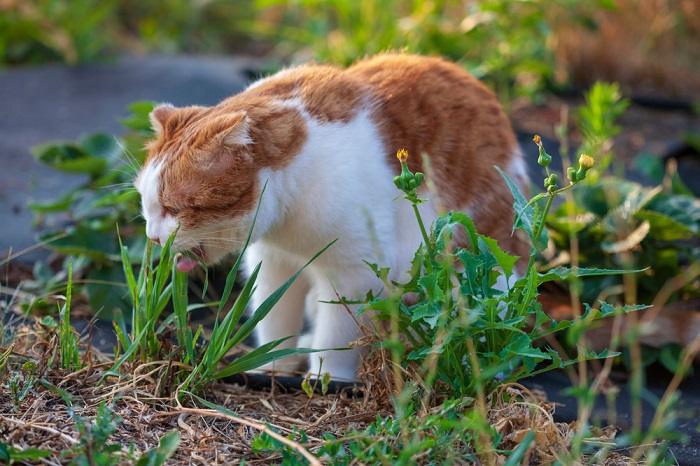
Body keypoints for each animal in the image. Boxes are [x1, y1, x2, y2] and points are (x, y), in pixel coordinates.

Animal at [134, 53, 528, 382]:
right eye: (146, 204)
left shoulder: (354, 272)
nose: (153, 236)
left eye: (175, 208)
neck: (289, 223)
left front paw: (328, 377)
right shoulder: (274, 262)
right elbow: (274, 316)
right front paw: (273, 366)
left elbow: (338, 332)